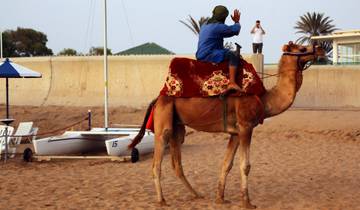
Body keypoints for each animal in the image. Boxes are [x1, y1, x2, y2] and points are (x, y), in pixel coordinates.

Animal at [129, 41, 326, 208]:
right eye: (302, 48)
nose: (320, 48)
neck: (265, 99)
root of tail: (158, 98)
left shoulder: (236, 132)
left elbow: (227, 164)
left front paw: (220, 198)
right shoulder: (246, 127)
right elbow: (245, 166)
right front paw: (247, 202)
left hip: (178, 126)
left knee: (177, 164)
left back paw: (197, 194)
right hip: (164, 120)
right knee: (157, 161)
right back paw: (162, 200)